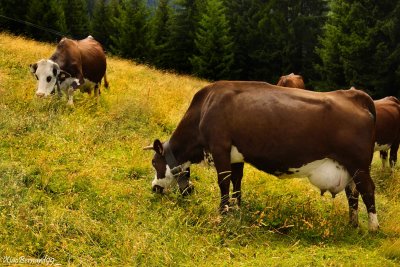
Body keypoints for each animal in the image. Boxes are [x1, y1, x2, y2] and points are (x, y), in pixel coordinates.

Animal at [145, 81, 380, 232]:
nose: (154, 188)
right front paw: (237, 207)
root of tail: (354, 95)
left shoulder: (220, 148)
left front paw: (223, 212)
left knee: (367, 190)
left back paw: (373, 227)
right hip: (348, 167)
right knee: (352, 194)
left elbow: (224, 182)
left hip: (359, 165)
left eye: (154, 162)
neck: (205, 108)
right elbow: (237, 182)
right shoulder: (235, 155)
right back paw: (352, 224)